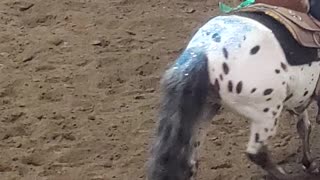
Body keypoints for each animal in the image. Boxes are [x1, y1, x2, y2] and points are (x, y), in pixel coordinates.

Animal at [146, 4, 320, 180]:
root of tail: (203, 52)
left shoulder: (300, 95)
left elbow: (304, 126)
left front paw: (309, 163)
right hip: (266, 114)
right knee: (257, 153)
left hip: (205, 112)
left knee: (189, 164)